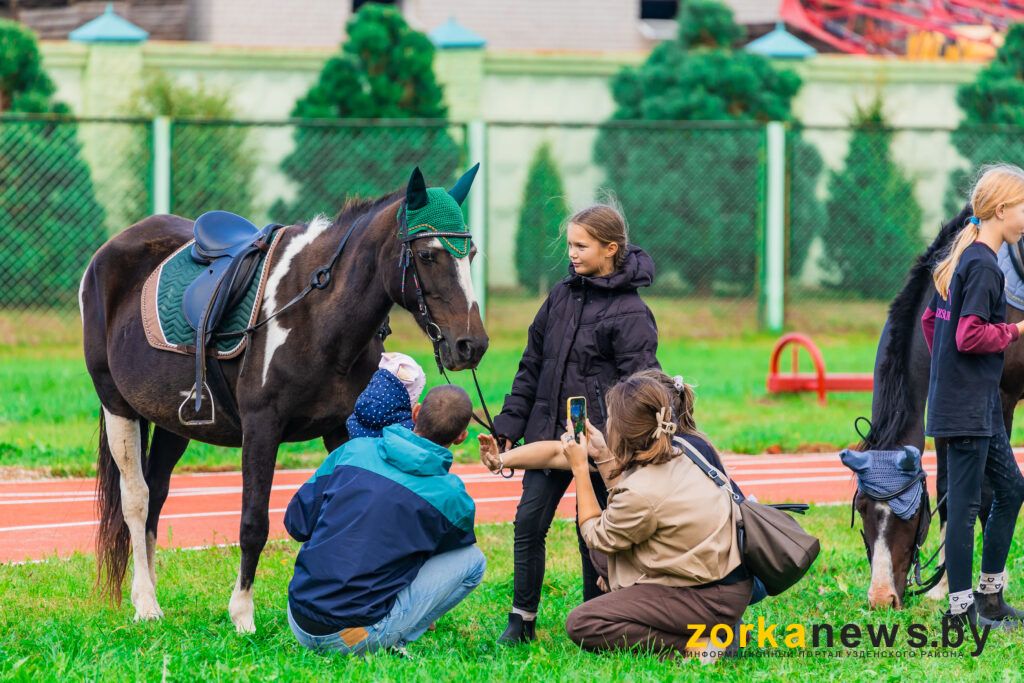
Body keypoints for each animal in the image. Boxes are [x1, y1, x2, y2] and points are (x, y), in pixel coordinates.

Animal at [79, 166, 488, 632]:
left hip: (171, 420)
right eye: (427, 255)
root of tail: (110, 249)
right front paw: (242, 614)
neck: (317, 313)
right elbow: (253, 522)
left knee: (157, 495)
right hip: (118, 405)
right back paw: (146, 602)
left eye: (471, 253)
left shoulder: (342, 428)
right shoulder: (262, 427)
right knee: (137, 499)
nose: (471, 345)